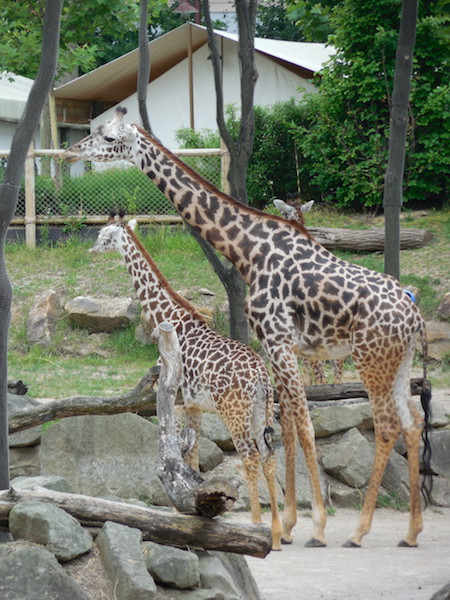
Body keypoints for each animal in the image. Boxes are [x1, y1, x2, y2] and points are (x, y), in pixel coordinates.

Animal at [89, 210, 282, 548]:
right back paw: (280, 533)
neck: (169, 316)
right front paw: (194, 509)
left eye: (104, 235)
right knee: (269, 455)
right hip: (262, 409)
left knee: (249, 456)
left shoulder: (173, 398)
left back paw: (257, 527)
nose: (91, 249)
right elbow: (191, 458)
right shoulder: (193, 404)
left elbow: (176, 453)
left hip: (235, 410)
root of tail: (261, 374)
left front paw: (182, 513)